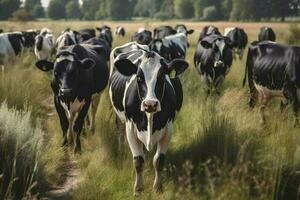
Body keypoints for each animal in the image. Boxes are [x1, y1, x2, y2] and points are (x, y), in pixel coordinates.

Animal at [109, 41, 189, 194]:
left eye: (162, 77)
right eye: (139, 77)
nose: (150, 104)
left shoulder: (168, 129)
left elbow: (159, 161)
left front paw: (157, 188)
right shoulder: (130, 128)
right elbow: (138, 161)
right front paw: (138, 189)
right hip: (118, 117)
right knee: (119, 131)